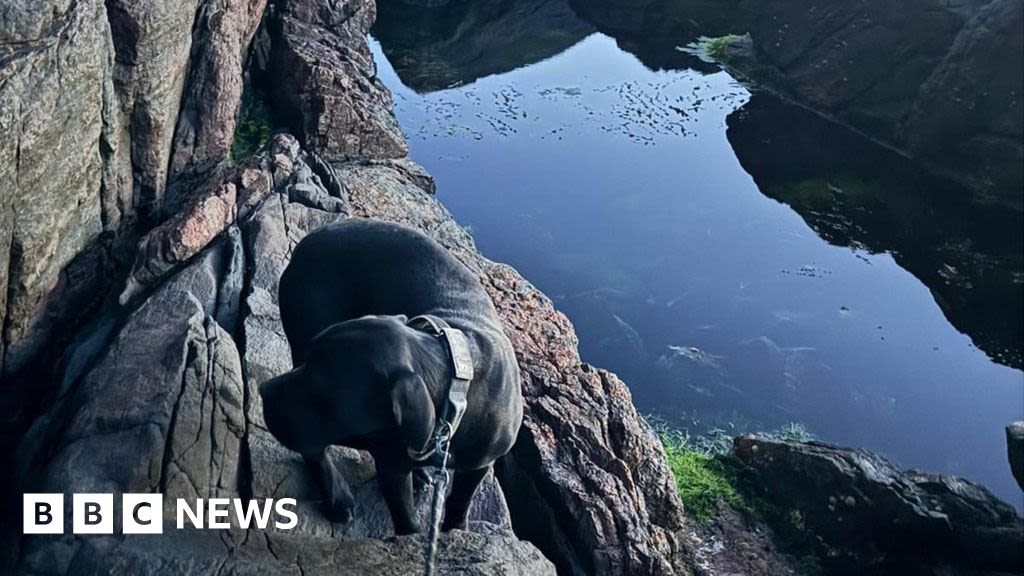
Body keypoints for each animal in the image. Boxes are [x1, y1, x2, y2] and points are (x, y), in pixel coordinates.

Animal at [260, 217, 524, 532]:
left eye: (323, 395)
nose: (263, 391)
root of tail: (311, 238)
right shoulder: (392, 469)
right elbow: (405, 520)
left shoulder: (478, 465)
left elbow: (460, 503)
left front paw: (456, 530)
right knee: (314, 448)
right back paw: (337, 498)